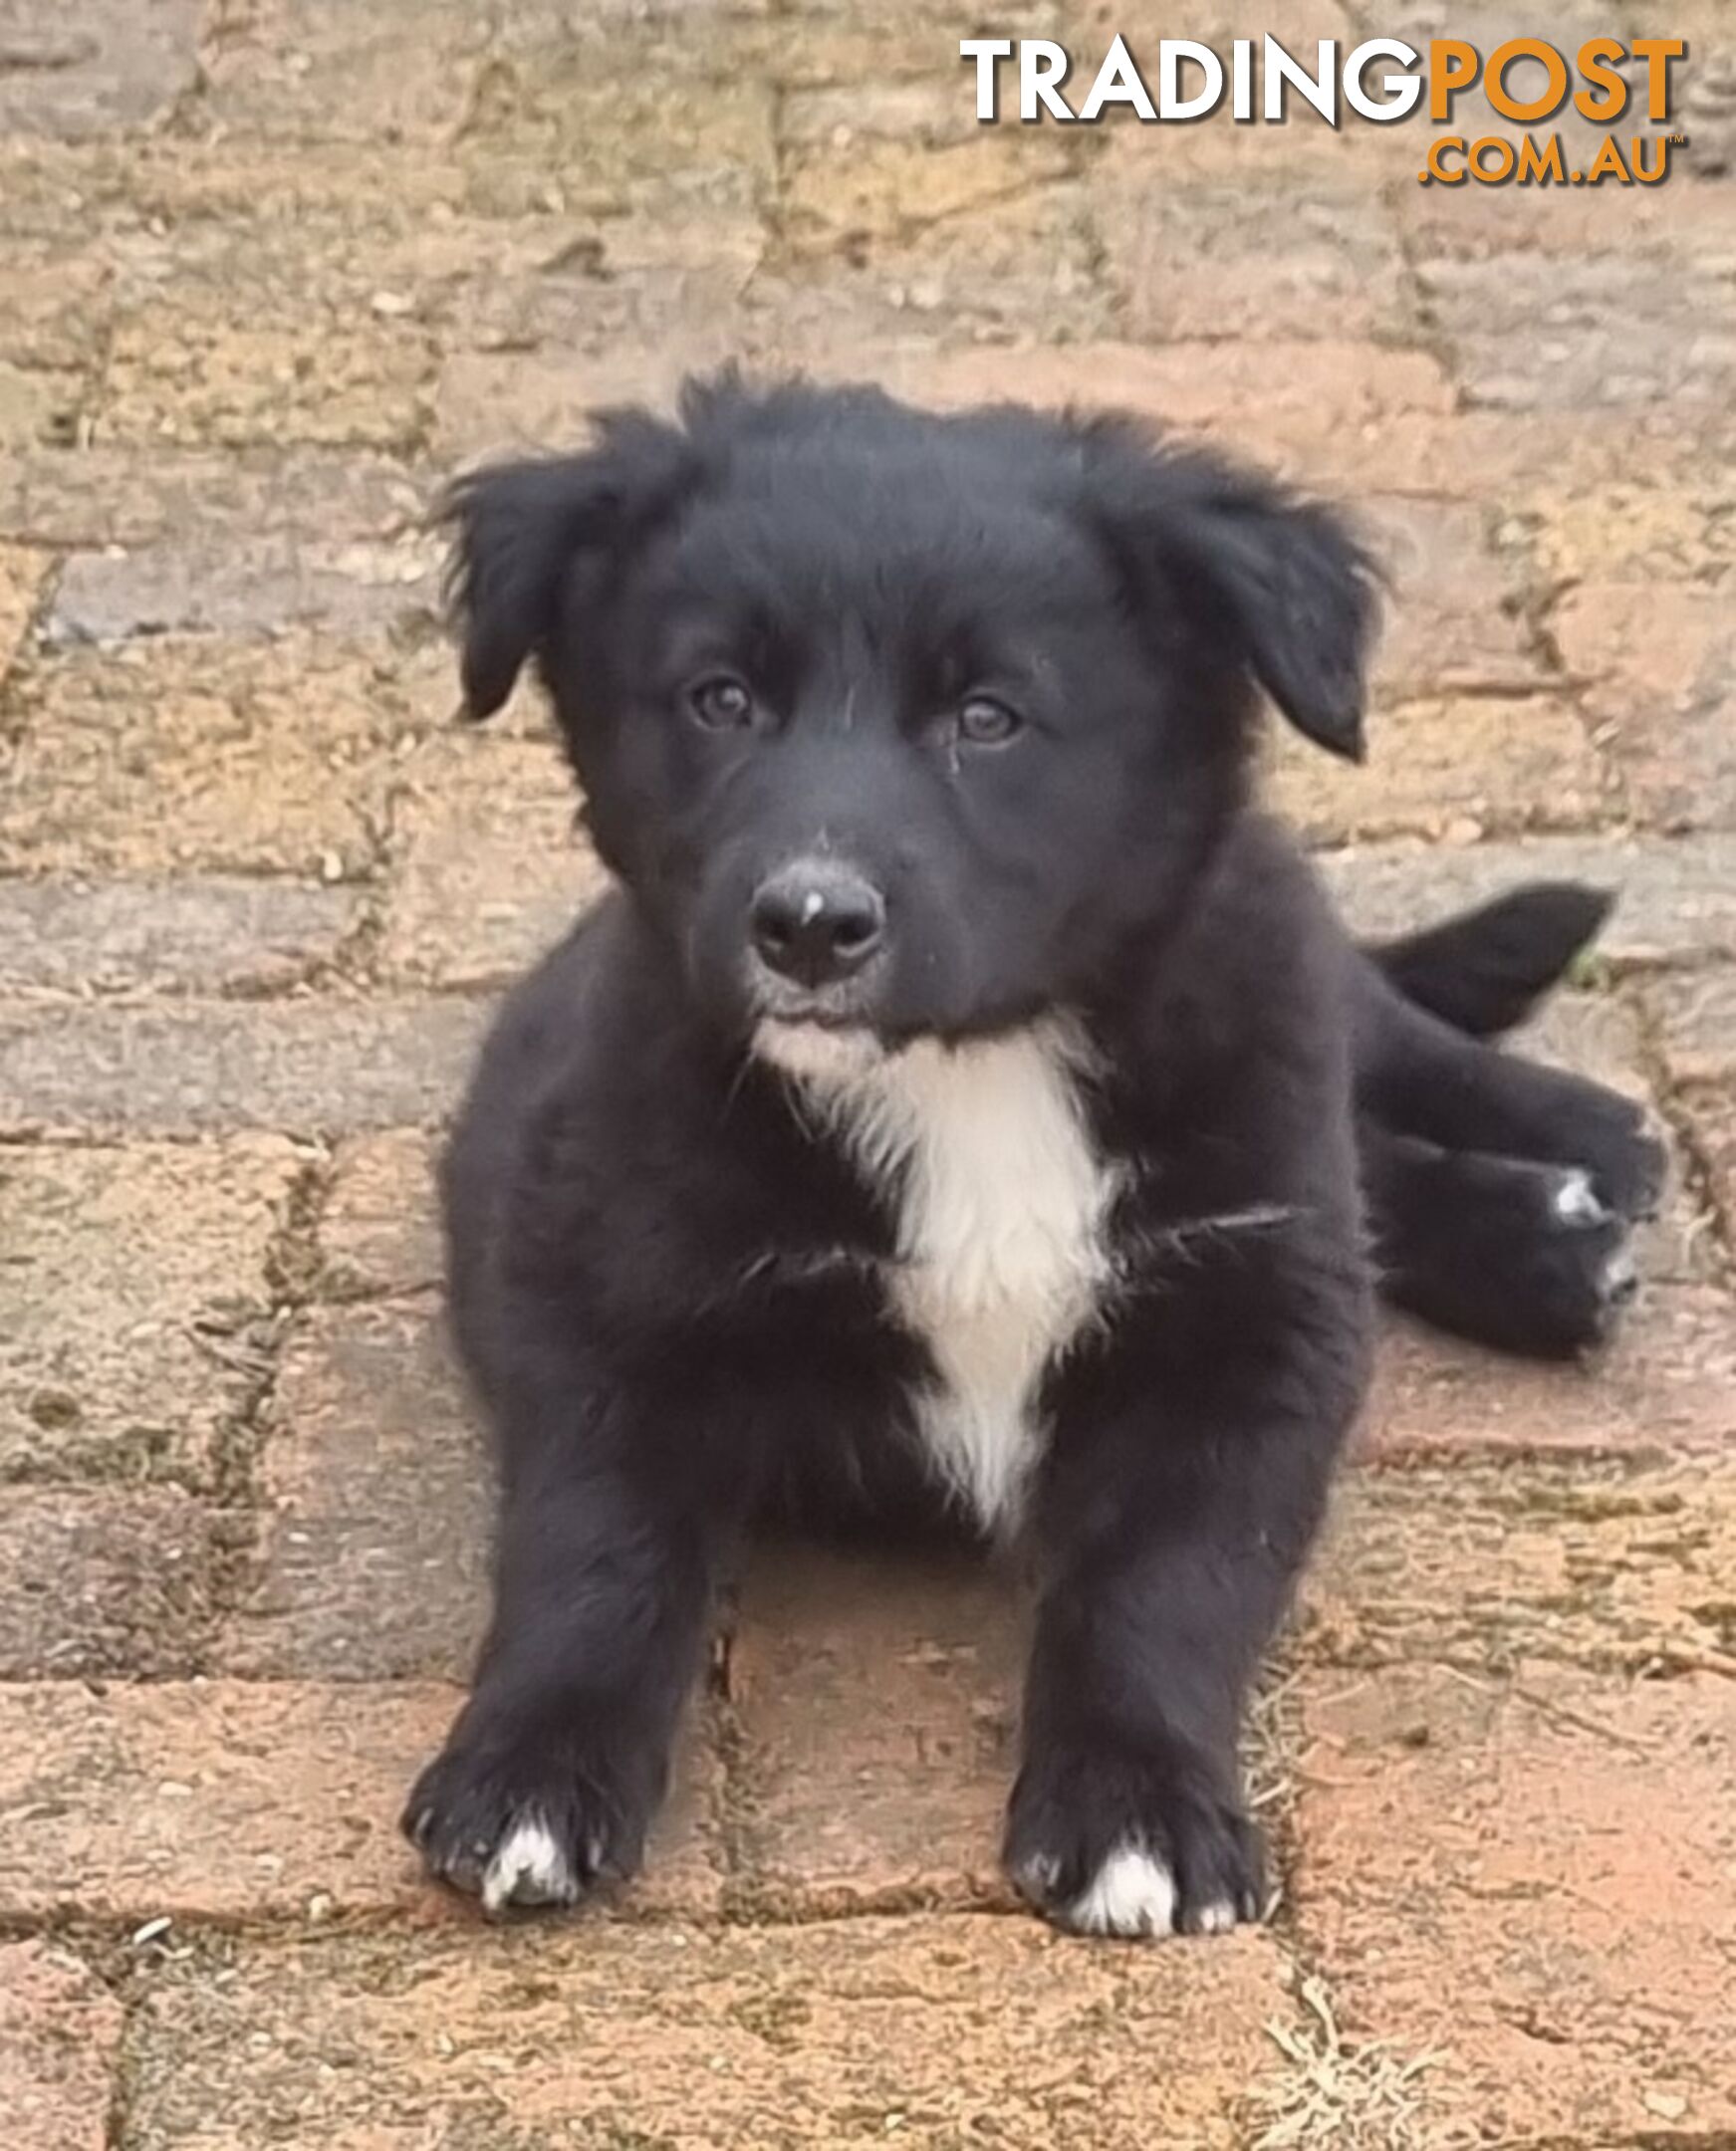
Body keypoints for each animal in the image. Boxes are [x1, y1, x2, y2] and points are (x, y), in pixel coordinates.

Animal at [399, 378, 1660, 1944]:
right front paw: (531, 1766)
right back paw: (1547, 1236)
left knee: (1384, 1048)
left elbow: (1160, 1585)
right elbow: (592, 1548)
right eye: (720, 699)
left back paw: (1574, 1162)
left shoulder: (1250, 1337)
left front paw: (1137, 1806)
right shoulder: (610, 1296)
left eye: (988, 719)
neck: (966, 1077)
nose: (806, 927)